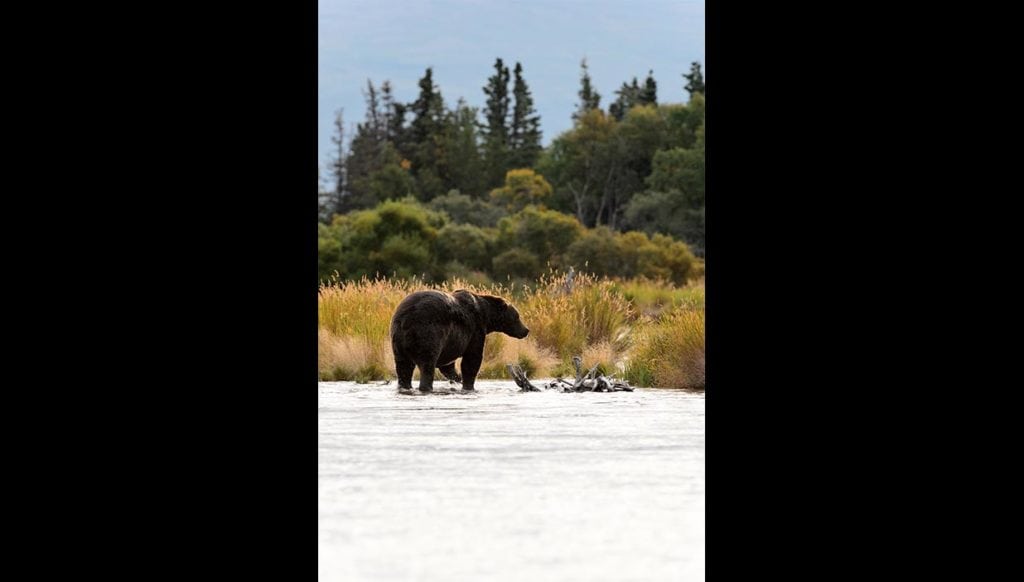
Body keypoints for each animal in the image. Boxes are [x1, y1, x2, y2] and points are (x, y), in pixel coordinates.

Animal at [389, 288, 528, 393]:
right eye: (517, 316)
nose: (526, 330)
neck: (487, 317)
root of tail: (404, 318)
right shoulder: (475, 329)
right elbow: (472, 359)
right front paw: (468, 385)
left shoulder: (450, 343)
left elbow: (448, 365)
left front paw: (457, 378)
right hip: (428, 332)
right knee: (427, 365)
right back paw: (426, 387)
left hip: (398, 343)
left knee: (403, 368)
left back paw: (405, 386)